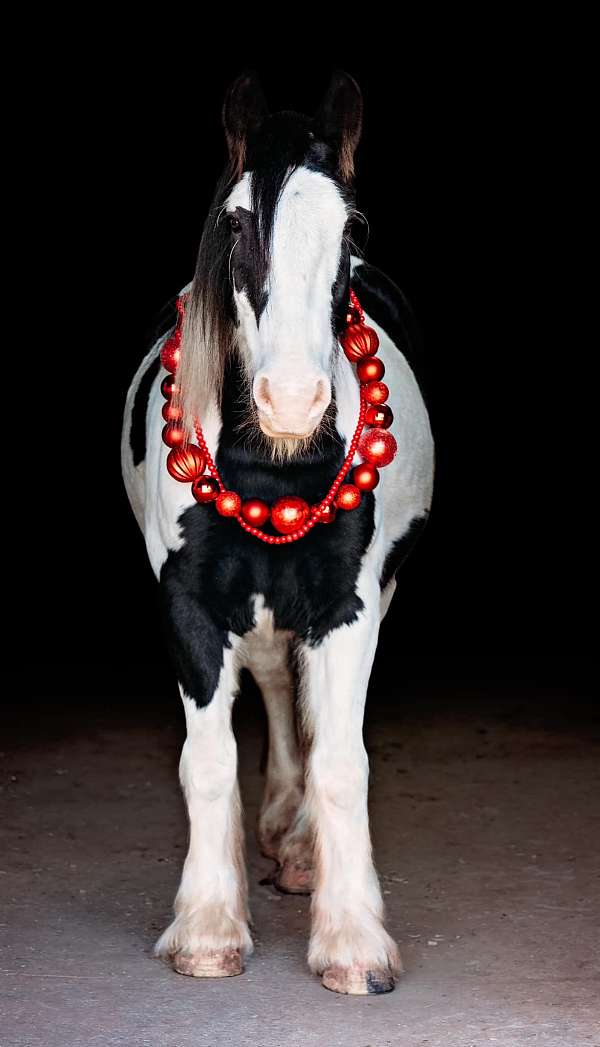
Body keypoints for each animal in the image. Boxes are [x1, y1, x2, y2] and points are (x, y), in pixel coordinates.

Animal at [121, 69, 434, 996]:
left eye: (352, 228)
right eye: (234, 222)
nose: (292, 403)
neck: (275, 470)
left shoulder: (349, 603)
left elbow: (341, 761)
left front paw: (353, 940)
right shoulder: (187, 602)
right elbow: (209, 759)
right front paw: (207, 926)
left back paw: (299, 850)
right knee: (269, 676)